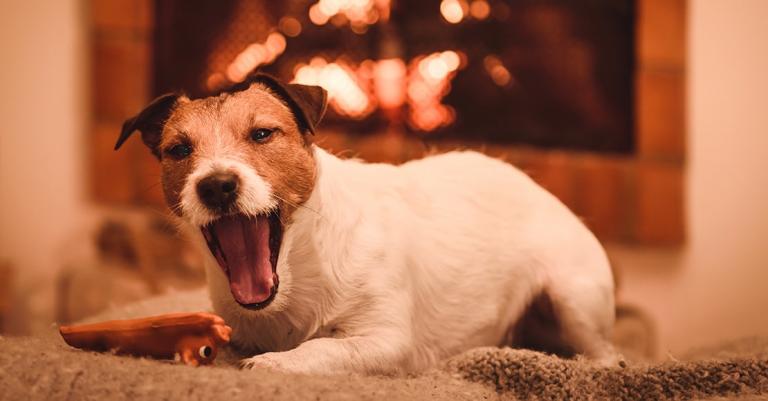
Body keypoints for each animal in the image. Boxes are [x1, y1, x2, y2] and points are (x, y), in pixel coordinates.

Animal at [115, 73, 616, 374]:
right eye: (179, 149)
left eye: (262, 134)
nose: (217, 185)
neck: (299, 272)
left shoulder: (385, 339)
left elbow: (323, 347)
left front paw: (276, 364)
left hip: (574, 299)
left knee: (608, 357)